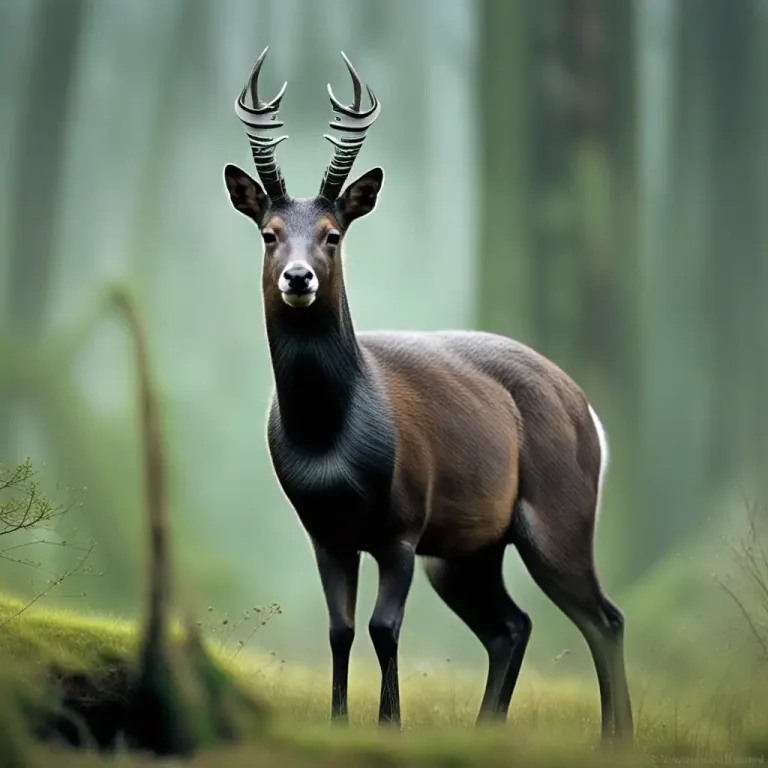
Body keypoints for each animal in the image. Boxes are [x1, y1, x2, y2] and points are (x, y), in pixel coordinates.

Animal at [222, 47, 633, 742]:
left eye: (333, 233)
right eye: (268, 232)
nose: (298, 278)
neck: (329, 442)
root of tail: (590, 413)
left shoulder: (403, 522)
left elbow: (384, 628)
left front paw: (390, 724)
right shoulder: (324, 530)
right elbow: (339, 630)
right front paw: (338, 723)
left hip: (560, 512)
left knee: (603, 616)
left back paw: (615, 737)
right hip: (468, 549)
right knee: (511, 625)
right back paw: (489, 728)